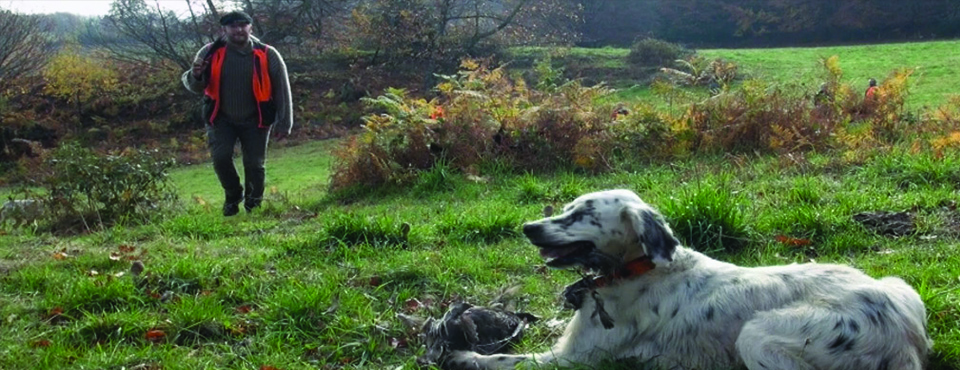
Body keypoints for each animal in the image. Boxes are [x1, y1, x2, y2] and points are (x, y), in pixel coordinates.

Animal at [448, 191, 928, 370]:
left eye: (582, 213)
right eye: (565, 207)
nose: (528, 227)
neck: (638, 269)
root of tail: (904, 336)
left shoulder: (578, 360)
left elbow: (504, 360)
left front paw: (463, 355)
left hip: (758, 334)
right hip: (899, 282)